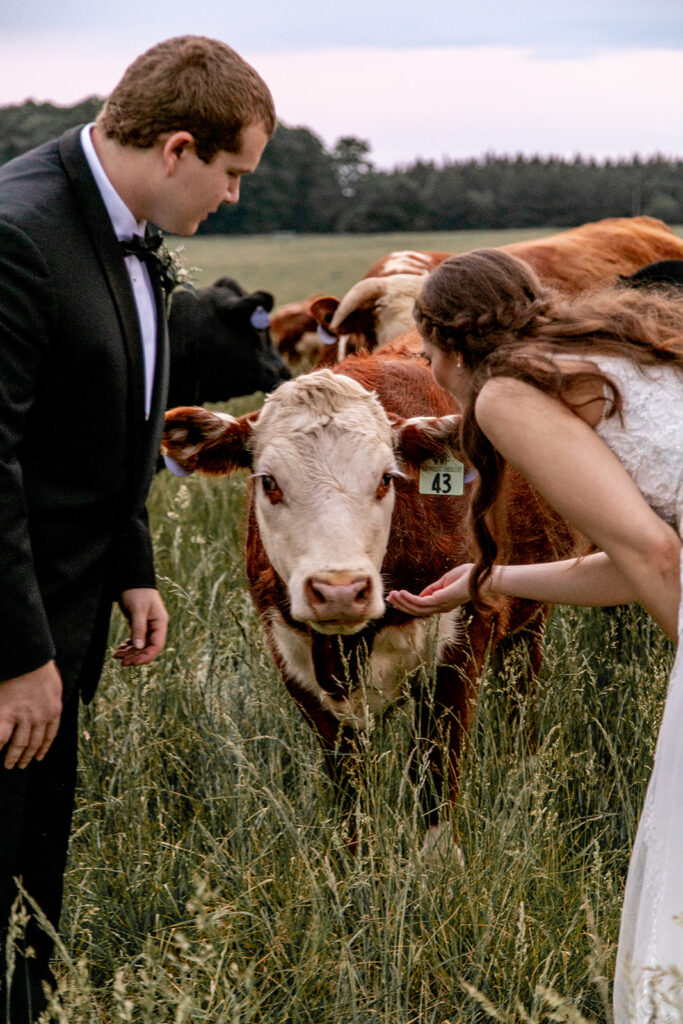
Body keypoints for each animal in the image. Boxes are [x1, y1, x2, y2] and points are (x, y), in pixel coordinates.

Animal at [163, 348, 577, 843]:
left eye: (386, 478)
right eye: (268, 481)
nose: (339, 591)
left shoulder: (459, 650)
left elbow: (437, 782)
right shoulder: (300, 672)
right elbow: (353, 809)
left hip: (526, 623)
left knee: (521, 703)